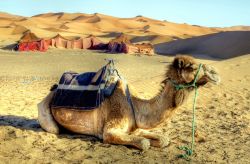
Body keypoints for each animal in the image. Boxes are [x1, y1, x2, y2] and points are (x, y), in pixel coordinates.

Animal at [37, 55, 219, 151]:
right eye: (192, 67)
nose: (216, 74)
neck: (135, 105)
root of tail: (53, 90)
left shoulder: (135, 127)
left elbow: (162, 140)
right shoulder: (110, 130)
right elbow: (144, 143)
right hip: (45, 111)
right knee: (54, 129)